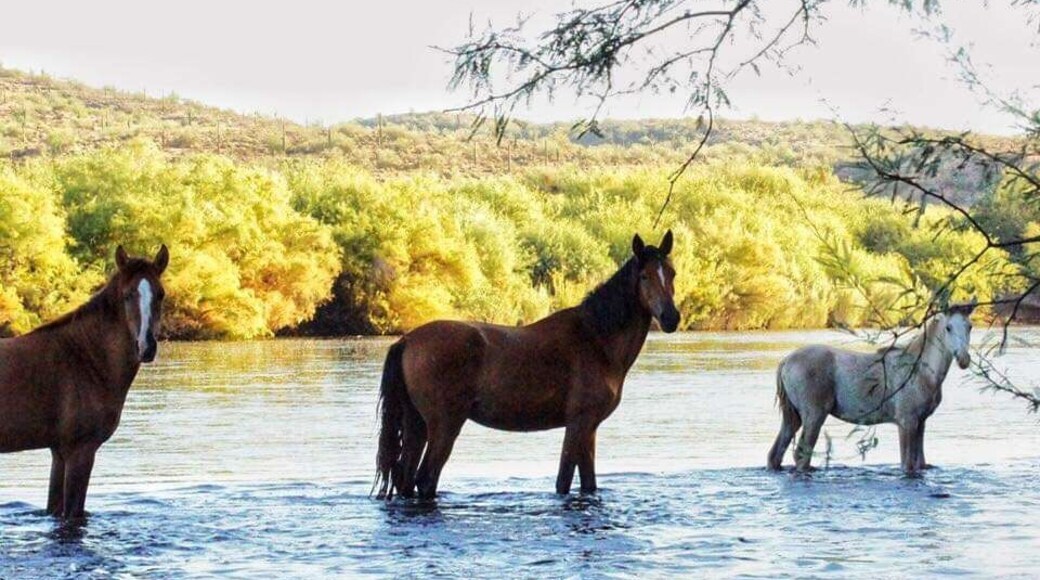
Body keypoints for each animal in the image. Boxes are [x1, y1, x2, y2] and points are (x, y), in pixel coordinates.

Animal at [0, 244, 169, 519]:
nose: (147, 346)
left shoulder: (58, 453)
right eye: (127, 295)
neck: (85, 358)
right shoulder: (80, 451)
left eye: (161, 295)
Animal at [374, 231, 679, 500]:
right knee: (425, 479)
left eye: (672, 273)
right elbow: (563, 481)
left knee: (405, 479)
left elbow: (588, 484)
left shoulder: (590, 428)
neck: (596, 338)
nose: (671, 318)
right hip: (444, 426)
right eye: (644, 276)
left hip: (416, 425)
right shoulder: (578, 424)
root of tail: (407, 340)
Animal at [767, 302, 976, 474]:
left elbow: (920, 464)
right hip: (814, 415)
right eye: (948, 328)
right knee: (800, 456)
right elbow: (907, 465)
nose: (964, 359)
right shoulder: (906, 421)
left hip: (793, 417)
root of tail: (785, 361)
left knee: (775, 455)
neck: (922, 372)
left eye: (969, 326)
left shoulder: (921, 421)